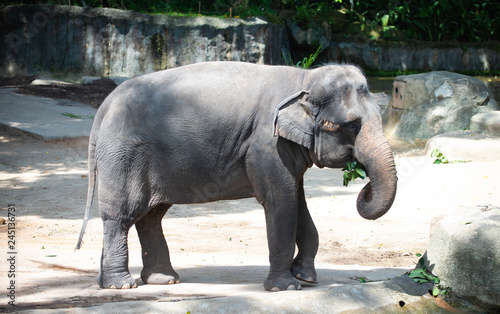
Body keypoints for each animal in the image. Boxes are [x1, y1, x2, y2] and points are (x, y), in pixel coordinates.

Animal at [76, 61, 396, 292]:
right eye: (351, 125)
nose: (363, 186)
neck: (303, 78)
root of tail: (104, 106)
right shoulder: (265, 144)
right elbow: (280, 201)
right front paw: (285, 287)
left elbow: (298, 199)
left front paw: (306, 277)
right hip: (123, 155)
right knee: (122, 215)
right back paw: (122, 284)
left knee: (150, 216)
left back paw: (158, 280)